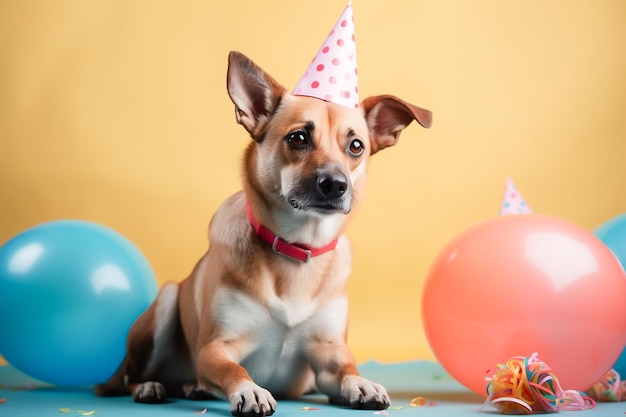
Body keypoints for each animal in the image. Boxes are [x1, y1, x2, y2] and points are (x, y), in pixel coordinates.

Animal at [95, 52, 432, 416]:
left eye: (356, 146)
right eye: (298, 138)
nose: (335, 184)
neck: (298, 248)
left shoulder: (328, 350)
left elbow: (346, 367)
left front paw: (362, 383)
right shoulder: (214, 349)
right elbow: (234, 369)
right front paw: (250, 390)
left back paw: (192, 388)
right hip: (167, 301)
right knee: (136, 375)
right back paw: (153, 387)